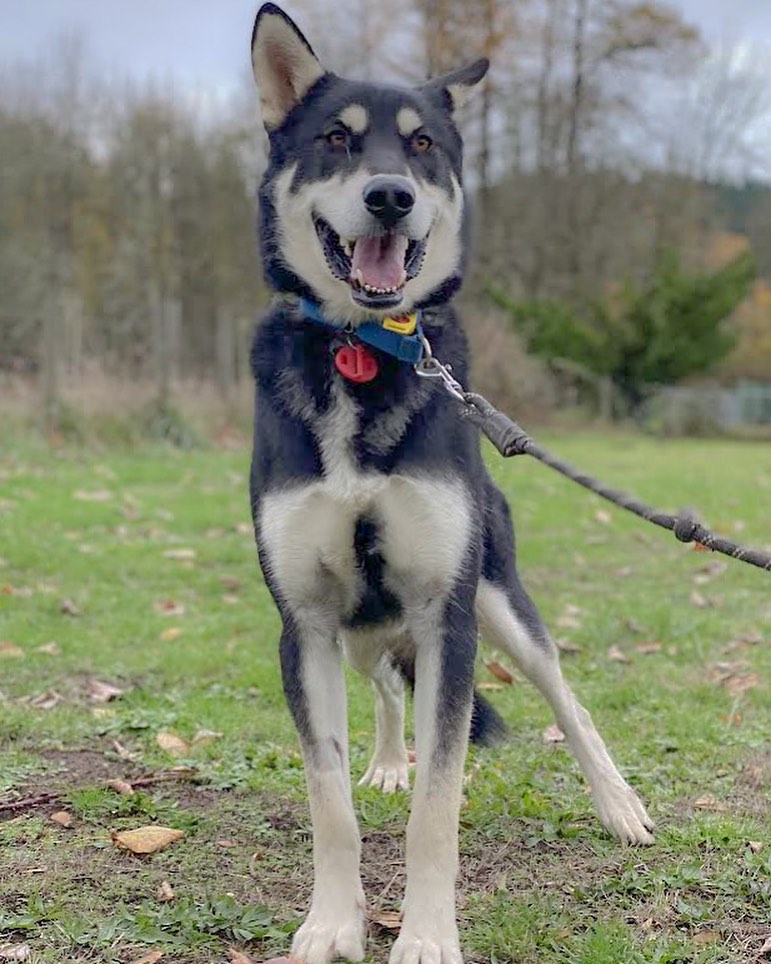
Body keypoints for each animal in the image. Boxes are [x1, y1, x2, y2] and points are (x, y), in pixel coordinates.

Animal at [247, 3, 652, 960]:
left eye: (423, 144)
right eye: (335, 138)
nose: (389, 194)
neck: (361, 349)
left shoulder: (449, 617)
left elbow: (440, 804)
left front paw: (426, 935)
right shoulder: (305, 627)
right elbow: (329, 801)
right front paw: (332, 922)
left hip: (500, 601)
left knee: (565, 699)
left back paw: (617, 803)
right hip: (361, 632)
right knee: (387, 687)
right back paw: (387, 757)